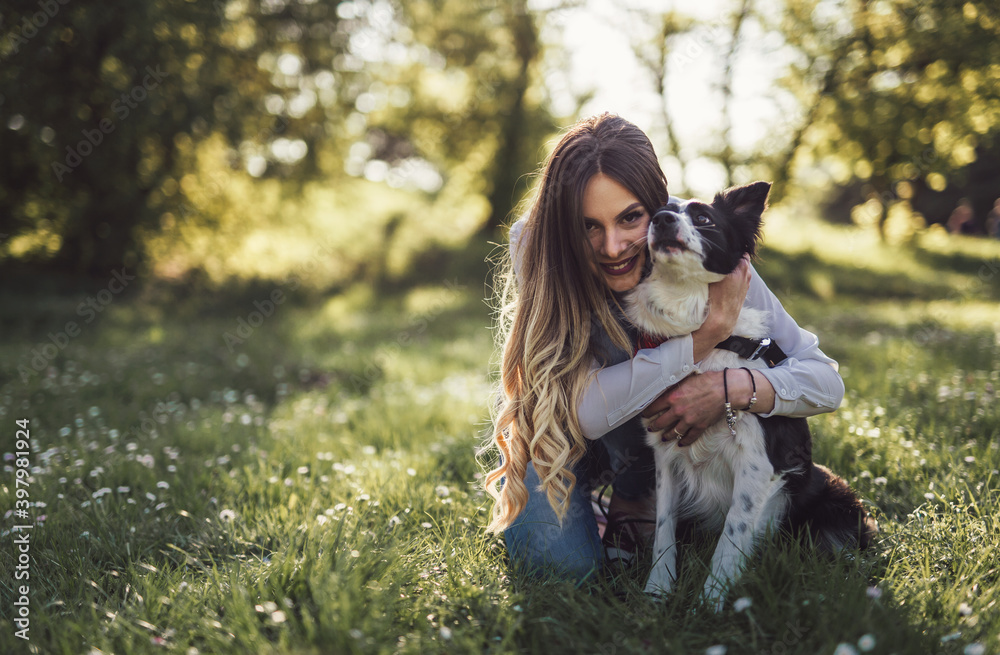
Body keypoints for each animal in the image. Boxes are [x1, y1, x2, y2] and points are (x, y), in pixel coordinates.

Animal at [624, 181, 876, 608]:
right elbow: (663, 529)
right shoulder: (666, 456)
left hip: (833, 497)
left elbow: (732, 533)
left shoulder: (757, 464)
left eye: (703, 218)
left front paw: (709, 603)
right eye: (654, 213)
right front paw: (657, 592)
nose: (662, 220)